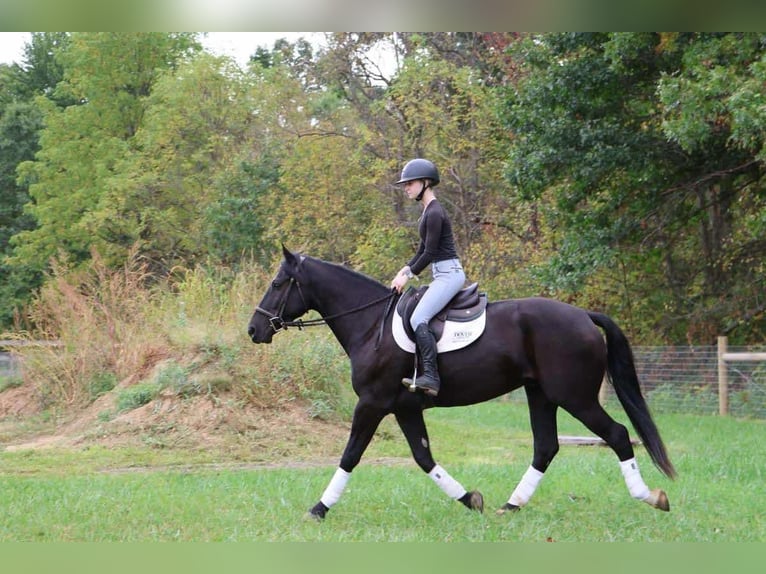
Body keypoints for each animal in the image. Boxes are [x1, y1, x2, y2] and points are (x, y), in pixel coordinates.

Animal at [249, 248, 676, 520]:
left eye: (278, 283)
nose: (254, 330)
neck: (370, 326)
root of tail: (584, 315)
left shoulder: (371, 403)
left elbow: (350, 456)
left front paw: (318, 509)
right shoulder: (404, 407)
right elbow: (423, 459)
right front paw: (471, 499)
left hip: (575, 397)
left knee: (617, 434)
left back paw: (651, 497)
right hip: (541, 395)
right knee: (546, 447)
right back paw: (511, 506)